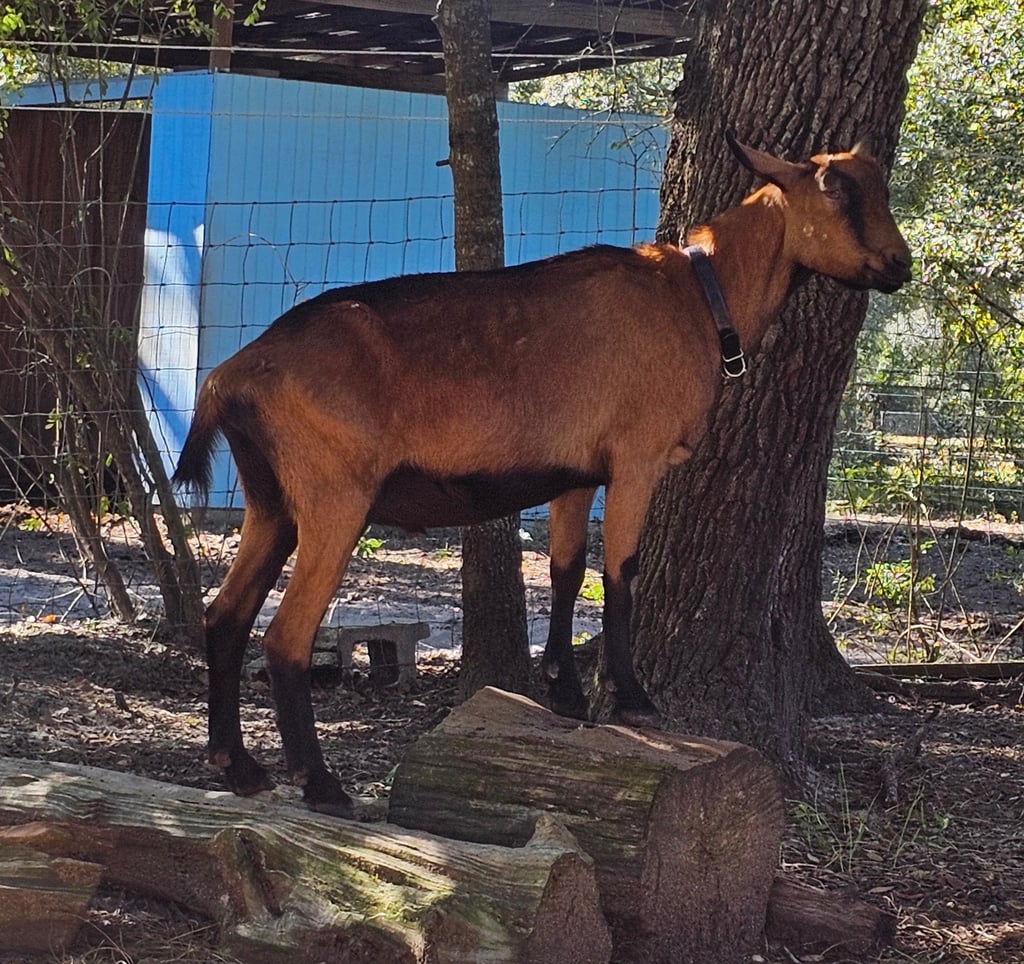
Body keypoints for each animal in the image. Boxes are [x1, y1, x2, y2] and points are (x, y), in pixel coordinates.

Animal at [174, 133, 912, 816]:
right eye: (834, 190)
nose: (898, 265)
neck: (699, 298)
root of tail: (229, 378)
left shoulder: (575, 474)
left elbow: (566, 568)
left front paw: (562, 689)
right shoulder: (636, 459)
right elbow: (621, 572)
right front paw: (632, 699)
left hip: (271, 505)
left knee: (224, 618)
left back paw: (237, 765)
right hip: (335, 499)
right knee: (285, 636)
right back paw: (320, 783)